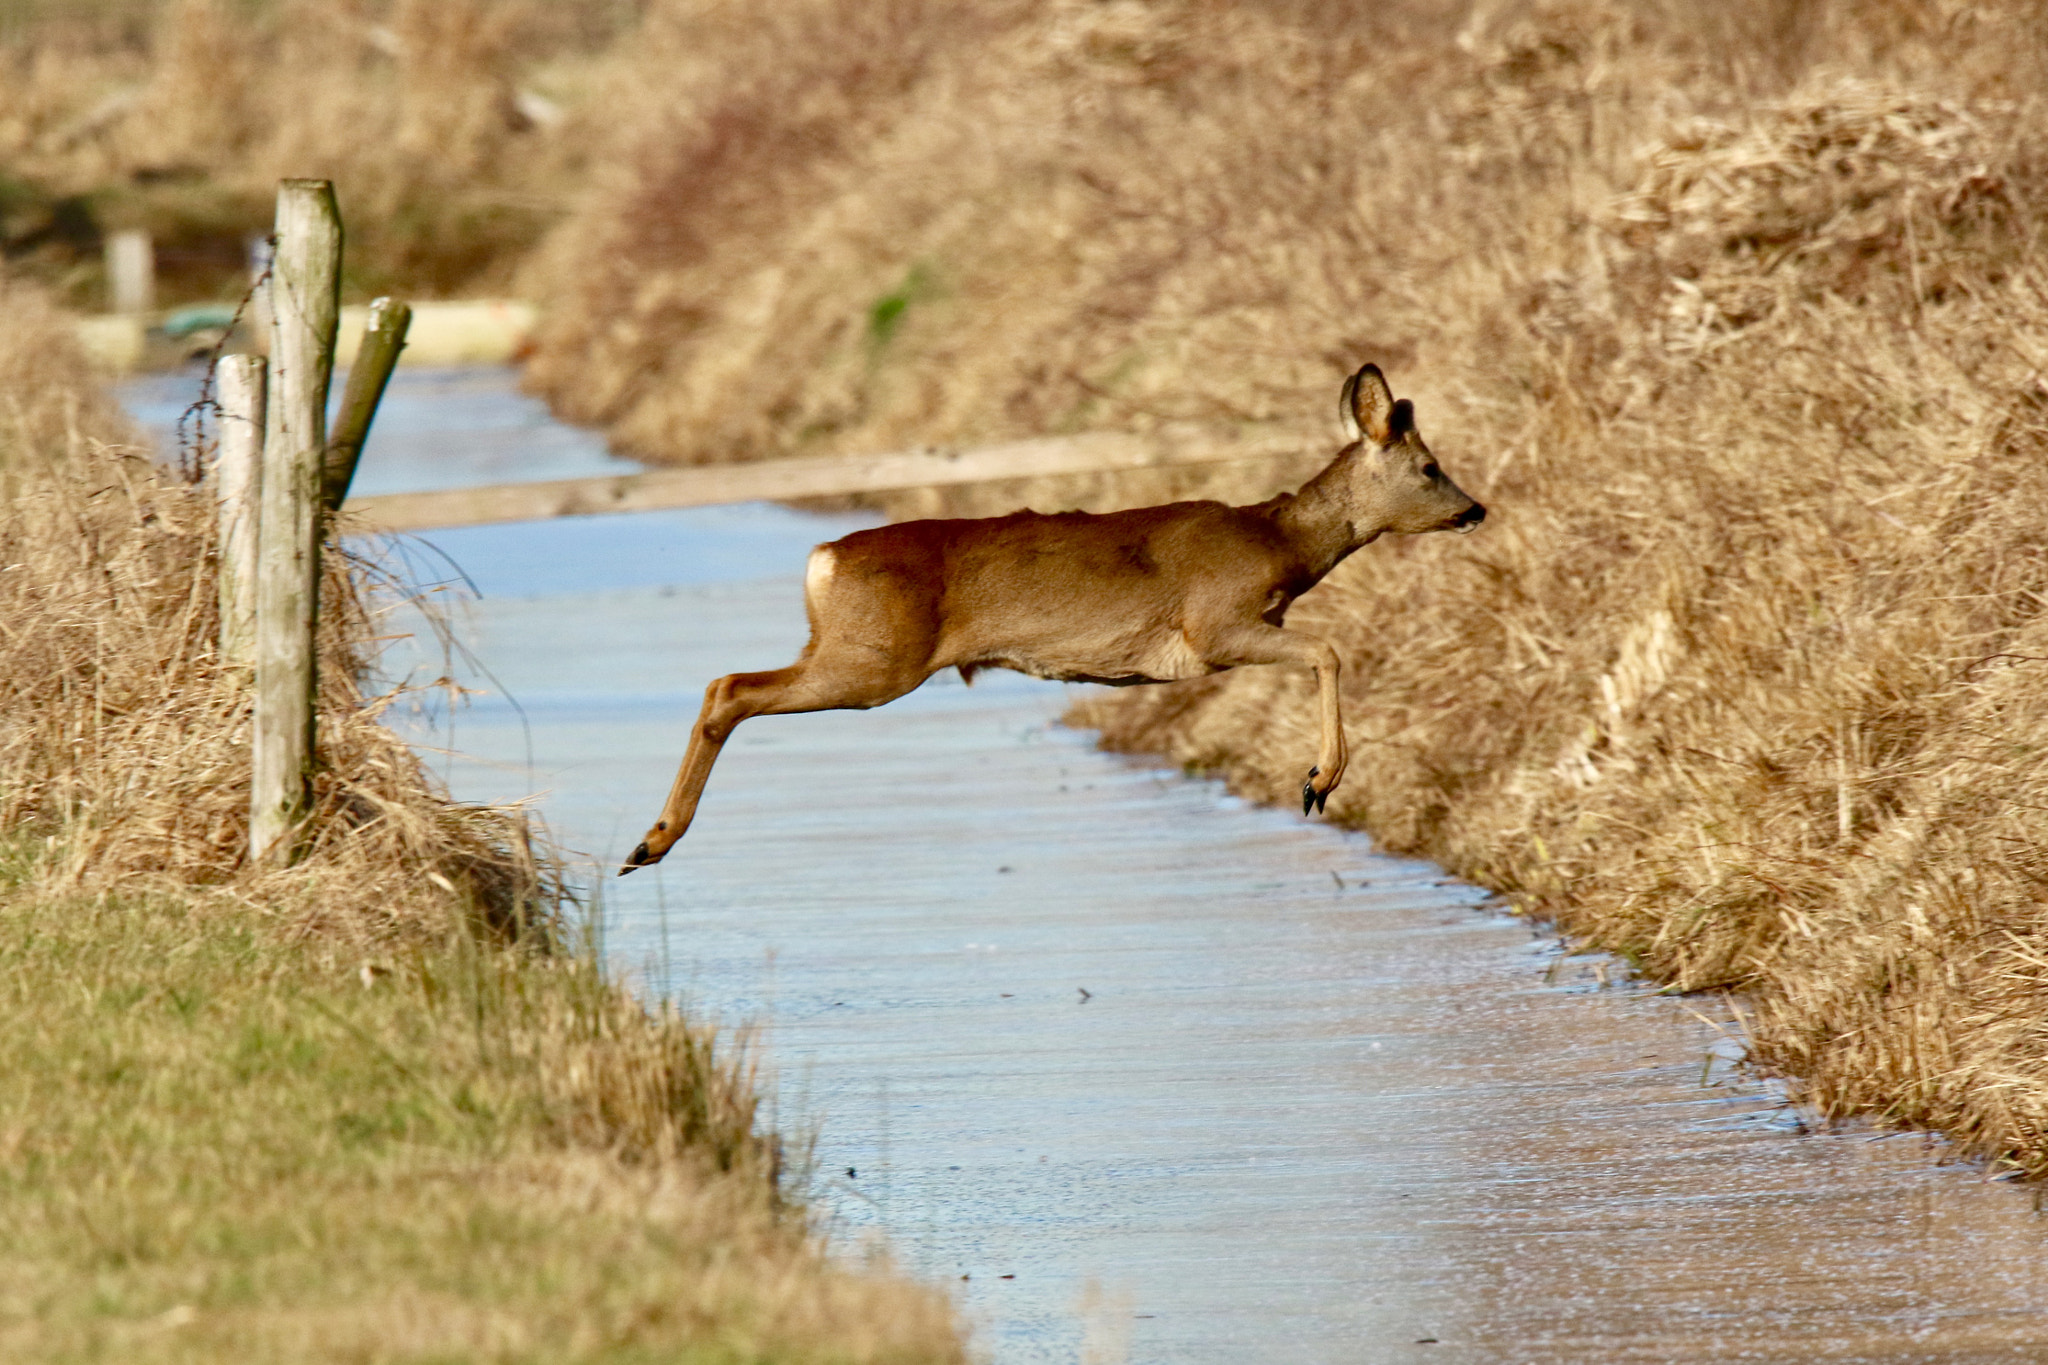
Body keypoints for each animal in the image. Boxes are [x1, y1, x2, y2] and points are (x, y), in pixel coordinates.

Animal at [619, 363, 1485, 874]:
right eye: (1429, 466)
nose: (1475, 508)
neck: (1280, 542)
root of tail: (824, 555)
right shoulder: (1215, 625)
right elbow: (1327, 648)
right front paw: (1317, 780)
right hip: (874, 659)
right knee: (730, 686)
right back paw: (650, 842)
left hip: (844, 647)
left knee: (724, 683)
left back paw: (648, 841)